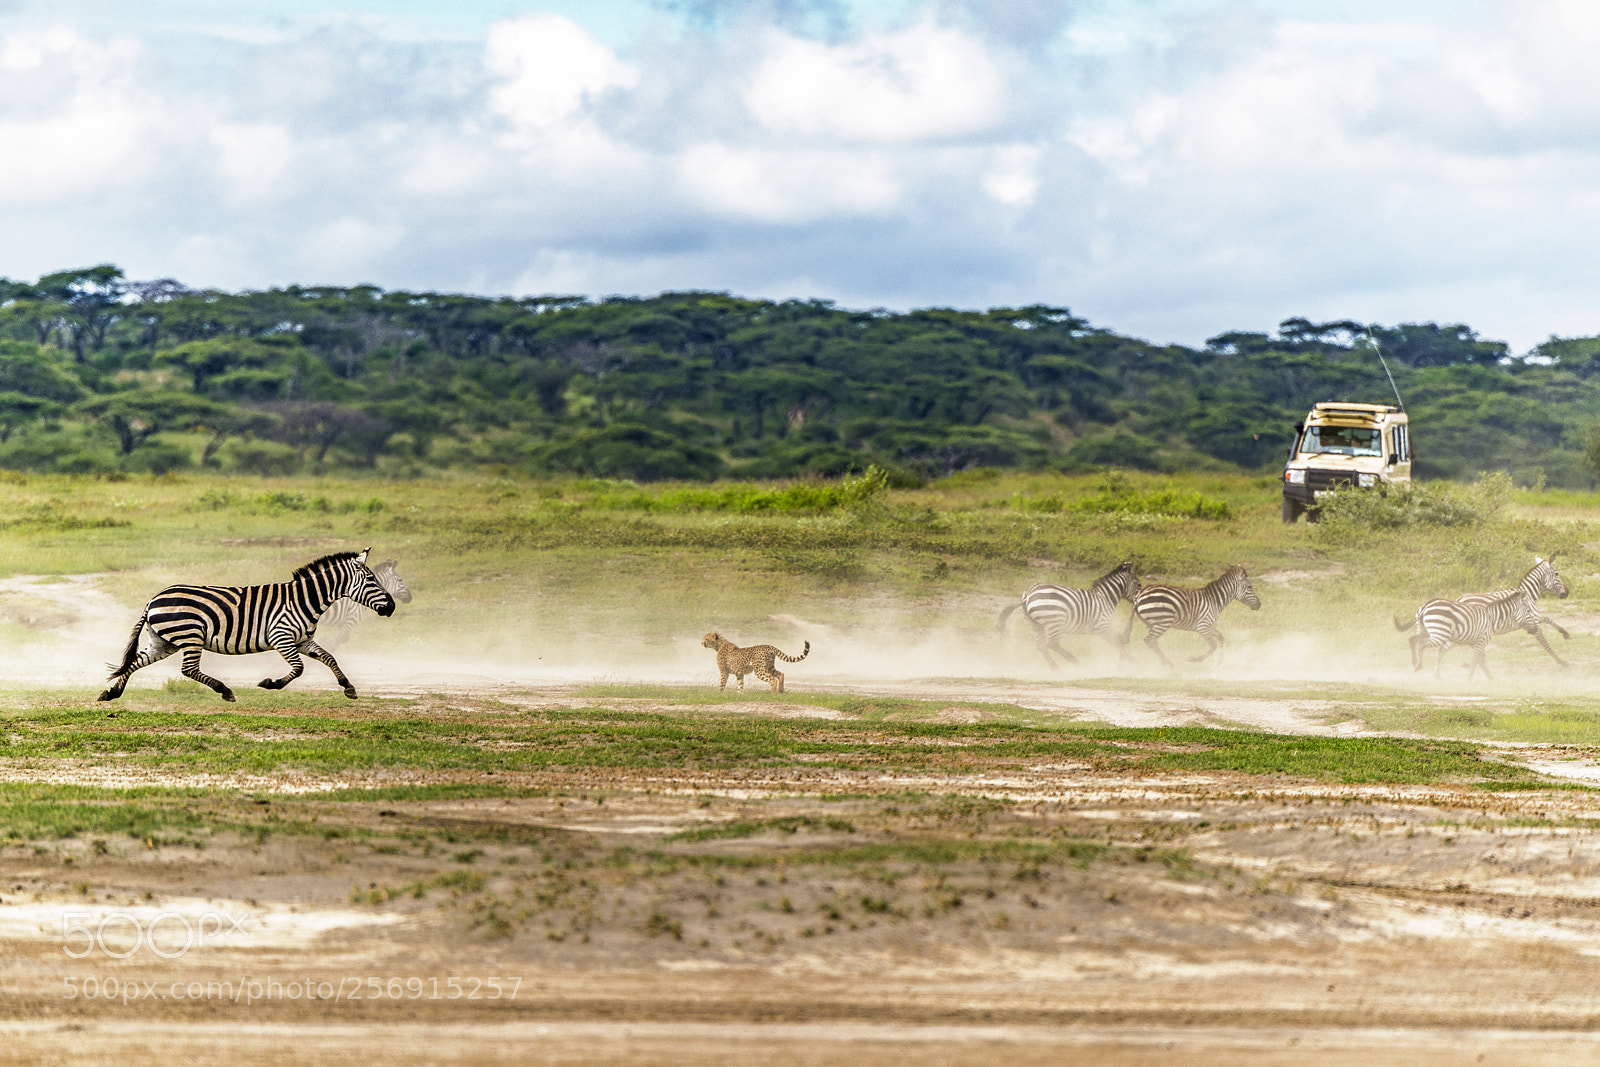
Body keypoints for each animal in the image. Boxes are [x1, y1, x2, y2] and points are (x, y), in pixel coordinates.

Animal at [97, 549, 396, 703]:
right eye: (371, 579)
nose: (392, 607)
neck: (304, 600)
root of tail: (152, 599)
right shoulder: (281, 637)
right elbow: (298, 669)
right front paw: (270, 683)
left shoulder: (303, 640)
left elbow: (330, 657)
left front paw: (348, 687)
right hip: (190, 635)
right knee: (188, 670)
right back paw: (225, 691)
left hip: (164, 641)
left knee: (135, 662)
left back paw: (111, 693)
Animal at [997, 561, 1140, 667]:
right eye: (1139, 584)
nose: (1137, 602)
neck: (1105, 598)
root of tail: (1027, 595)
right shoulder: (1102, 626)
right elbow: (1118, 642)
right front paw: (1131, 660)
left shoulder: (1102, 628)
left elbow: (1119, 641)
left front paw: (1126, 659)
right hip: (1056, 622)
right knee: (1052, 644)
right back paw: (1073, 661)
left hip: (1035, 623)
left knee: (1042, 646)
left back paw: (1055, 668)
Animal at [1125, 565, 1261, 668]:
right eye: (1250, 587)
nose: (1259, 605)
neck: (1215, 600)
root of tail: (1139, 595)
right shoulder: (1203, 626)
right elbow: (1213, 645)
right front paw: (1195, 659)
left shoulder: (1208, 626)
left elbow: (1221, 638)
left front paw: (1218, 662)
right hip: (1163, 622)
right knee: (1149, 640)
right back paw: (1168, 664)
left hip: (1155, 623)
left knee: (1152, 642)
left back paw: (1163, 662)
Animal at [1397, 556, 1571, 669]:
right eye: (1557, 574)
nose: (1567, 593)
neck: (1526, 593)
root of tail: (1459, 598)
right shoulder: (1528, 620)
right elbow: (1545, 640)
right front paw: (1561, 661)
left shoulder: (1530, 619)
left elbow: (1547, 619)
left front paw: (1565, 633)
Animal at [1404, 588, 1538, 680]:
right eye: (1528, 611)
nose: (1535, 628)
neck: (1492, 618)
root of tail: (1426, 605)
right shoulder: (1482, 640)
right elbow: (1475, 660)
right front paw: (1469, 679)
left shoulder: (1475, 642)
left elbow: (1480, 660)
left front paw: (1490, 678)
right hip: (1438, 633)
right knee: (1421, 644)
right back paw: (1418, 665)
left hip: (1425, 630)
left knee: (1413, 640)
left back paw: (1420, 667)